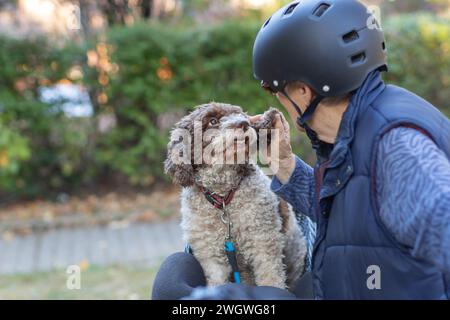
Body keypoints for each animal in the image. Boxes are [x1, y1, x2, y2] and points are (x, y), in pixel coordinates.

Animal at [163, 102, 308, 290]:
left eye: (241, 115)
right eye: (212, 121)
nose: (243, 123)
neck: (224, 197)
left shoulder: (263, 242)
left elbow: (270, 278)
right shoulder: (210, 255)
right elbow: (216, 281)